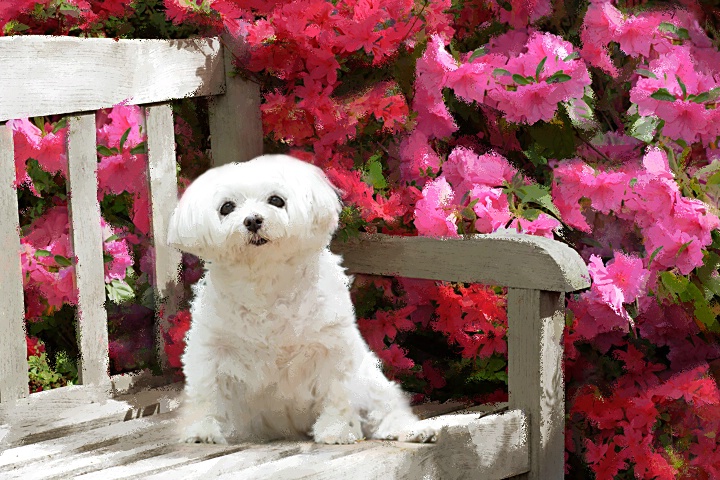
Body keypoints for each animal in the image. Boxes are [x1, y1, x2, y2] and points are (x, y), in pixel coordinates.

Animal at [168, 156, 436, 444]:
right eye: (227, 207)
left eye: (276, 200)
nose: (252, 220)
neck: (265, 278)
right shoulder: (211, 349)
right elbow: (206, 391)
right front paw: (202, 429)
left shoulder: (332, 346)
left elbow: (338, 391)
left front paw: (336, 429)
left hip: (370, 379)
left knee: (385, 407)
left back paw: (411, 430)